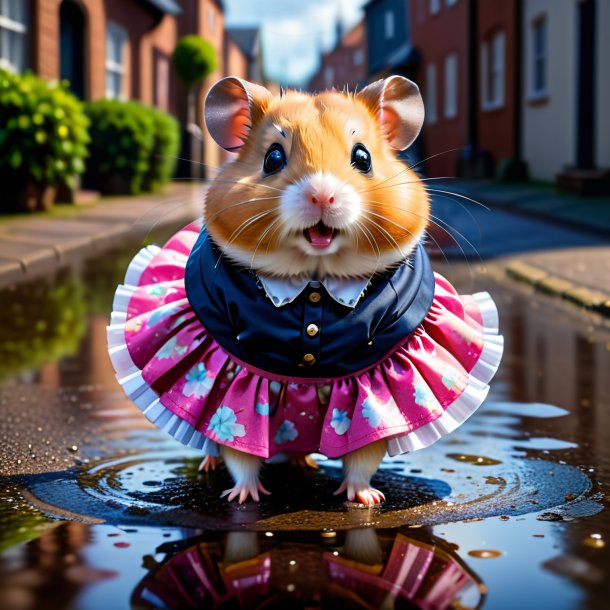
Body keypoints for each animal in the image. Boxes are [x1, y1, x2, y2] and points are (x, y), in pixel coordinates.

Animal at [202, 76, 426, 504]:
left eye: (363, 157)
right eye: (273, 158)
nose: (322, 195)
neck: (315, 279)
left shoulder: (372, 383)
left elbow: (363, 455)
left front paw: (366, 499)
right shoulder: (236, 377)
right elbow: (240, 453)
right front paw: (245, 498)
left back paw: (305, 463)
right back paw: (210, 467)